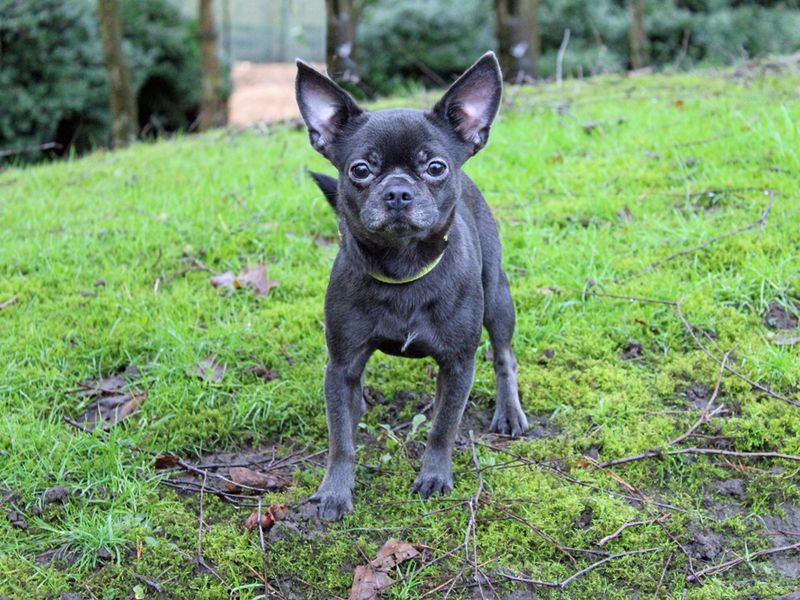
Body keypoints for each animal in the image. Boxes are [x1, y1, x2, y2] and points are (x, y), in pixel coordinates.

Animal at [296, 51, 528, 520]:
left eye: (435, 167)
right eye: (360, 170)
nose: (399, 191)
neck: (403, 269)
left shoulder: (458, 364)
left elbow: (443, 427)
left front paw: (435, 476)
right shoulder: (341, 364)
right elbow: (340, 439)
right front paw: (334, 491)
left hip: (498, 299)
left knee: (504, 356)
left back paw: (509, 411)